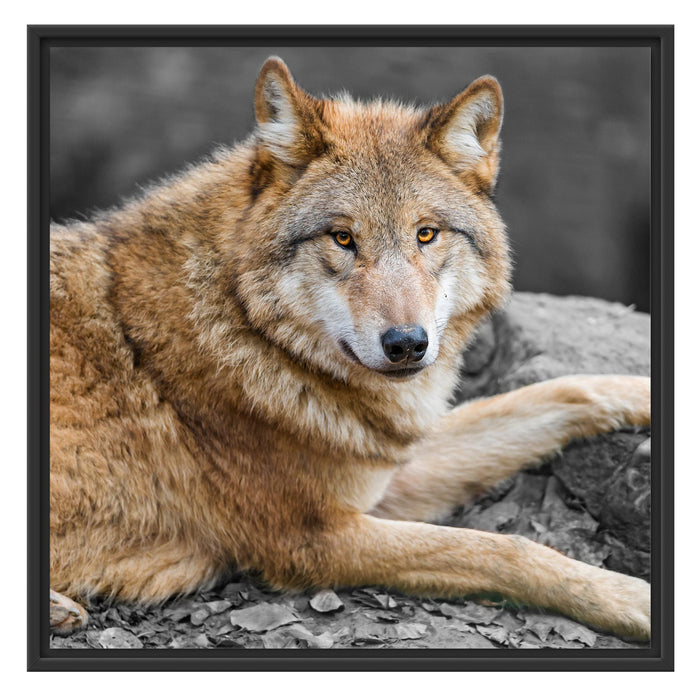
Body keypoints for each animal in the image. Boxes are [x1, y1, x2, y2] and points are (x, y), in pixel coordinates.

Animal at [49, 57, 651, 641]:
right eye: (343, 238)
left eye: (426, 234)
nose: (407, 344)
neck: (245, 327)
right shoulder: (314, 538)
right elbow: (502, 549)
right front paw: (631, 599)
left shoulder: (384, 469)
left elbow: (562, 390)